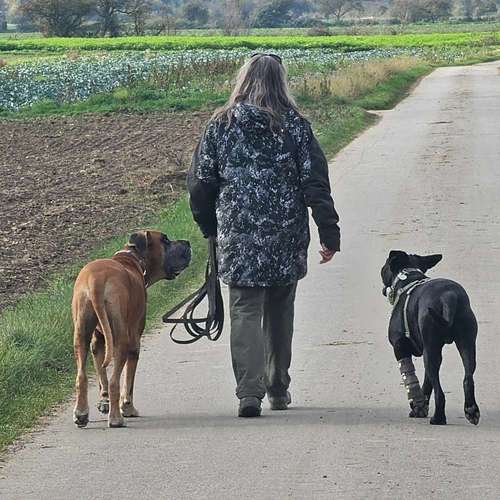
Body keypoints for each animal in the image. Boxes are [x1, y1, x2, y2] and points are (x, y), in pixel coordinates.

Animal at [72, 229, 191, 428]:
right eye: (165, 240)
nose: (188, 243)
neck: (132, 258)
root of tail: (97, 281)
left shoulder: (99, 341)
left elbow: (101, 375)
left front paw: (104, 402)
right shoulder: (135, 341)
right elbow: (129, 381)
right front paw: (127, 407)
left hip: (82, 333)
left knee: (82, 376)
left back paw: (81, 414)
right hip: (122, 338)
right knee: (115, 381)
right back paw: (116, 418)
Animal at [380, 250, 478, 426]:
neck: (408, 279)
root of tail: (448, 297)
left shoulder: (400, 347)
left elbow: (411, 380)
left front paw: (417, 407)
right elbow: (426, 384)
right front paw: (420, 407)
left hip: (431, 351)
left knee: (440, 393)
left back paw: (438, 418)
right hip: (466, 344)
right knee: (468, 378)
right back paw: (471, 410)